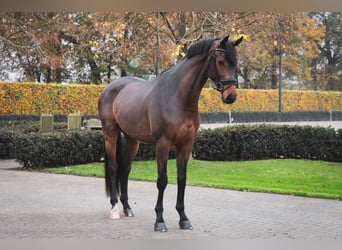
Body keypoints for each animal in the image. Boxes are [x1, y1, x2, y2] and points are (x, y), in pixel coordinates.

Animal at [99, 34, 243, 231]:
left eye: (235, 63)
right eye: (220, 61)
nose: (231, 96)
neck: (178, 97)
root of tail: (110, 87)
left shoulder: (186, 144)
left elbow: (182, 179)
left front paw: (183, 218)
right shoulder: (163, 143)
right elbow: (162, 180)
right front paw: (159, 220)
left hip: (132, 139)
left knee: (125, 169)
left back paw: (127, 208)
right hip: (110, 133)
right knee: (113, 168)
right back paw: (114, 209)